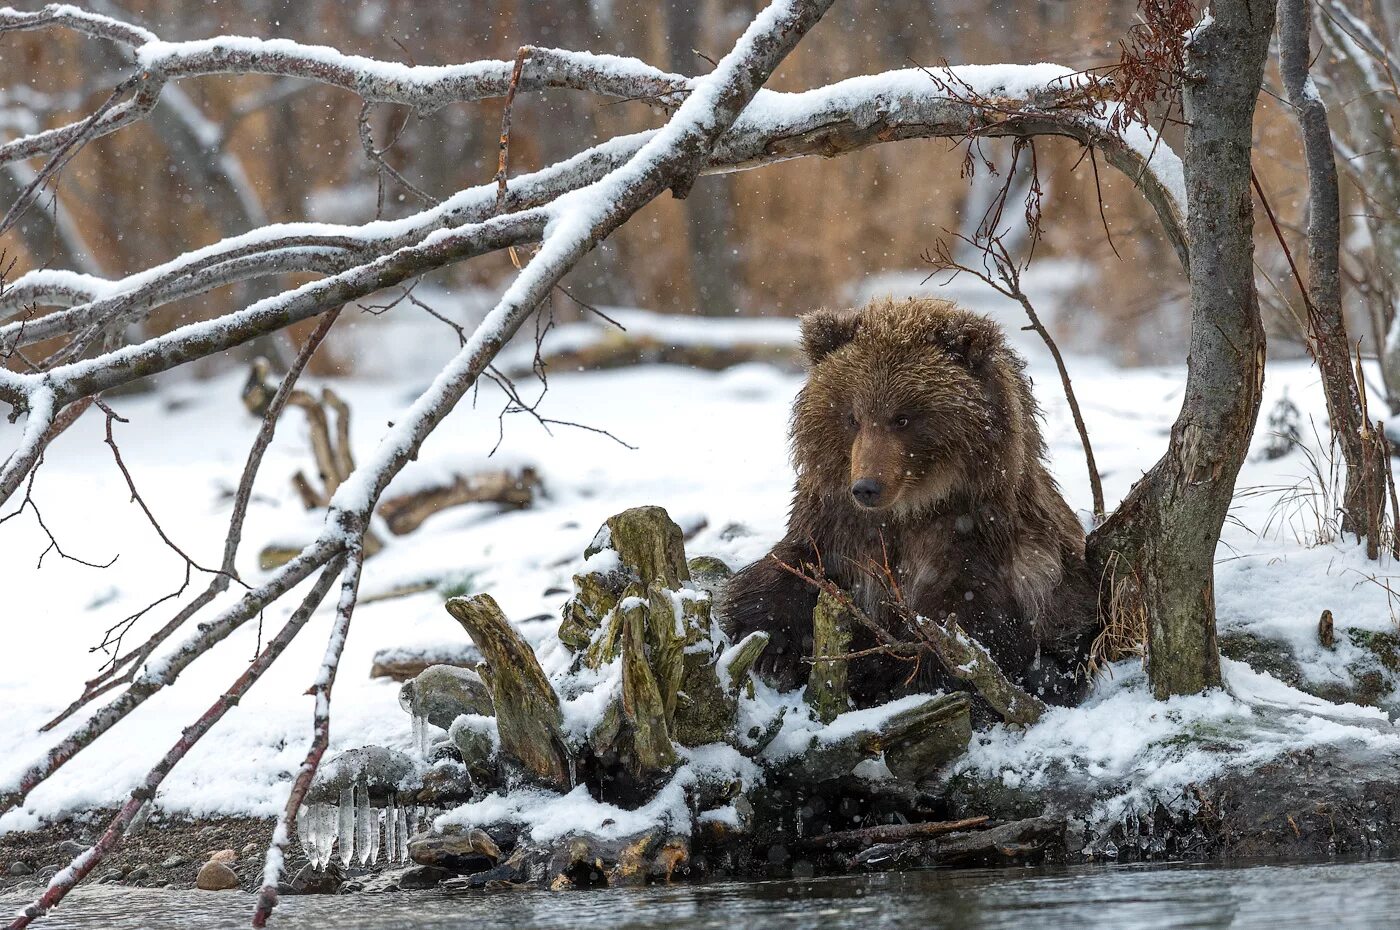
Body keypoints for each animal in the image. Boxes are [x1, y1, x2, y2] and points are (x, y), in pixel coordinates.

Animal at [728, 294, 1097, 708]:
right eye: (852, 416)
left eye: (902, 418)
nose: (867, 487)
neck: (910, 509)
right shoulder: (834, 523)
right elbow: (786, 576)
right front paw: (770, 651)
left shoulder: (977, 540)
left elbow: (964, 625)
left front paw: (908, 679)